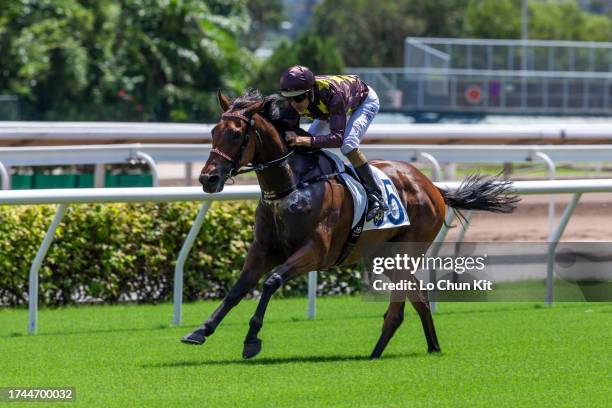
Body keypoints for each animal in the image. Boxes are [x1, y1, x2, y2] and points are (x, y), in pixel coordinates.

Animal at [180, 88, 516, 356]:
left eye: (236, 134)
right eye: (213, 131)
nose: (208, 179)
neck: (293, 185)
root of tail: (432, 186)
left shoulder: (316, 250)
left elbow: (272, 281)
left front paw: (251, 339)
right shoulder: (263, 248)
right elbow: (238, 289)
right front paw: (200, 331)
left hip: (405, 251)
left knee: (406, 301)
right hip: (382, 255)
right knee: (417, 297)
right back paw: (414, 349)